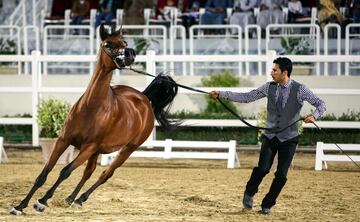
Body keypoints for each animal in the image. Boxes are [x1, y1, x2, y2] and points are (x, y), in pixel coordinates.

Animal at [10, 24, 179, 215]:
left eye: (124, 43)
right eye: (108, 44)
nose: (130, 53)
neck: (90, 108)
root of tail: (143, 98)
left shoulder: (88, 147)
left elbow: (65, 171)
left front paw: (42, 201)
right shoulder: (63, 140)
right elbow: (44, 173)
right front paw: (20, 206)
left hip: (127, 149)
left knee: (105, 174)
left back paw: (81, 198)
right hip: (98, 150)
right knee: (89, 171)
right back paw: (72, 198)